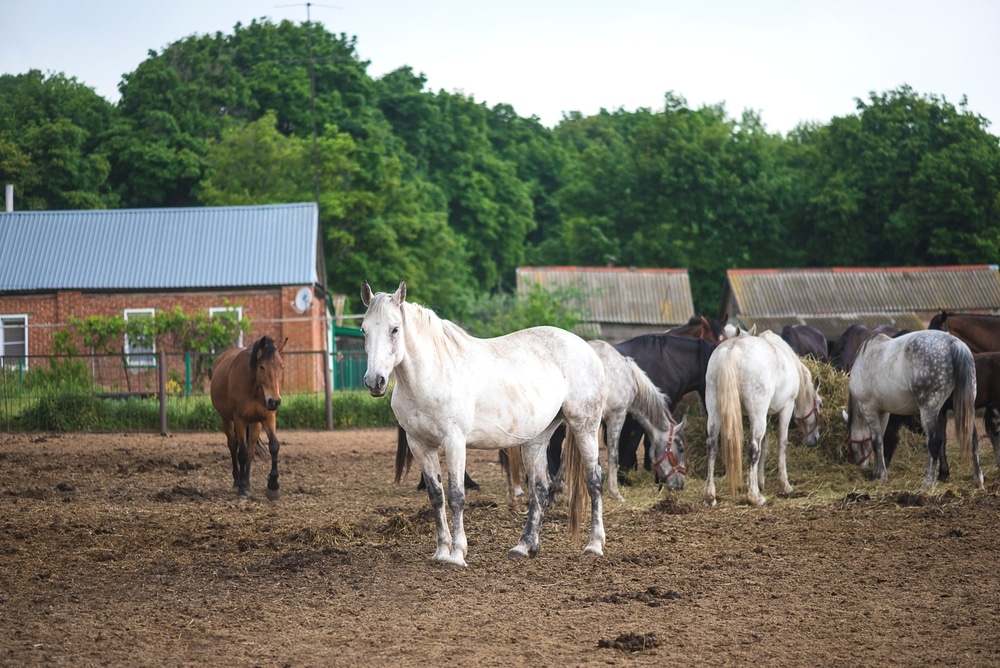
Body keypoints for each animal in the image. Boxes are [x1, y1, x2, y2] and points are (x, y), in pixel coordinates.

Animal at [209, 336, 288, 498]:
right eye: (262, 367)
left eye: (282, 367)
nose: (274, 401)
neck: (255, 388)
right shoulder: (239, 420)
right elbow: (242, 454)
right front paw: (242, 488)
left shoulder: (268, 418)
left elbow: (274, 446)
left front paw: (273, 486)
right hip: (226, 419)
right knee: (233, 445)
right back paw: (238, 481)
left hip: (255, 424)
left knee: (251, 450)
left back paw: (248, 481)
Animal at [362, 280, 604, 568]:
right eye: (364, 330)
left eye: (395, 328)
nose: (374, 381)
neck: (431, 374)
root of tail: (586, 348)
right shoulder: (419, 444)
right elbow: (436, 496)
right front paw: (441, 552)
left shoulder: (454, 442)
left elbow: (456, 496)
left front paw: (457, 555)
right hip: (537, 438)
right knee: (540, 488)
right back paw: (525, 546)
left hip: (585, 426)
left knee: (594, 480)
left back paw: (594, 545)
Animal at [704, 328, 820, 506]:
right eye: (820, 404)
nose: (815, 439)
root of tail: (732, 349)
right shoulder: (786, 407)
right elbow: (781, 443)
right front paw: (784, 485)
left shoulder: (764, 415)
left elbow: (764, 448)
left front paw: (760, 482)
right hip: (757, 413)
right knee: (752, 448)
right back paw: (754, 497)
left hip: (715, 410)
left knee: (712, 445)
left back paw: (710, 495)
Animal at [844, 330, 984, 490]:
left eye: (849, 442)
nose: (857, 463)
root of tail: (953, 343)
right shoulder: (883, 412)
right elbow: (880, 440)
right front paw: (877, 472)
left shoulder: (869, 409)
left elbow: (876, 442)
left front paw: (882, 475)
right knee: (972, 438)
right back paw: (978, 480)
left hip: (929, 410)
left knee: (934, 441)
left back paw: (927, 483)